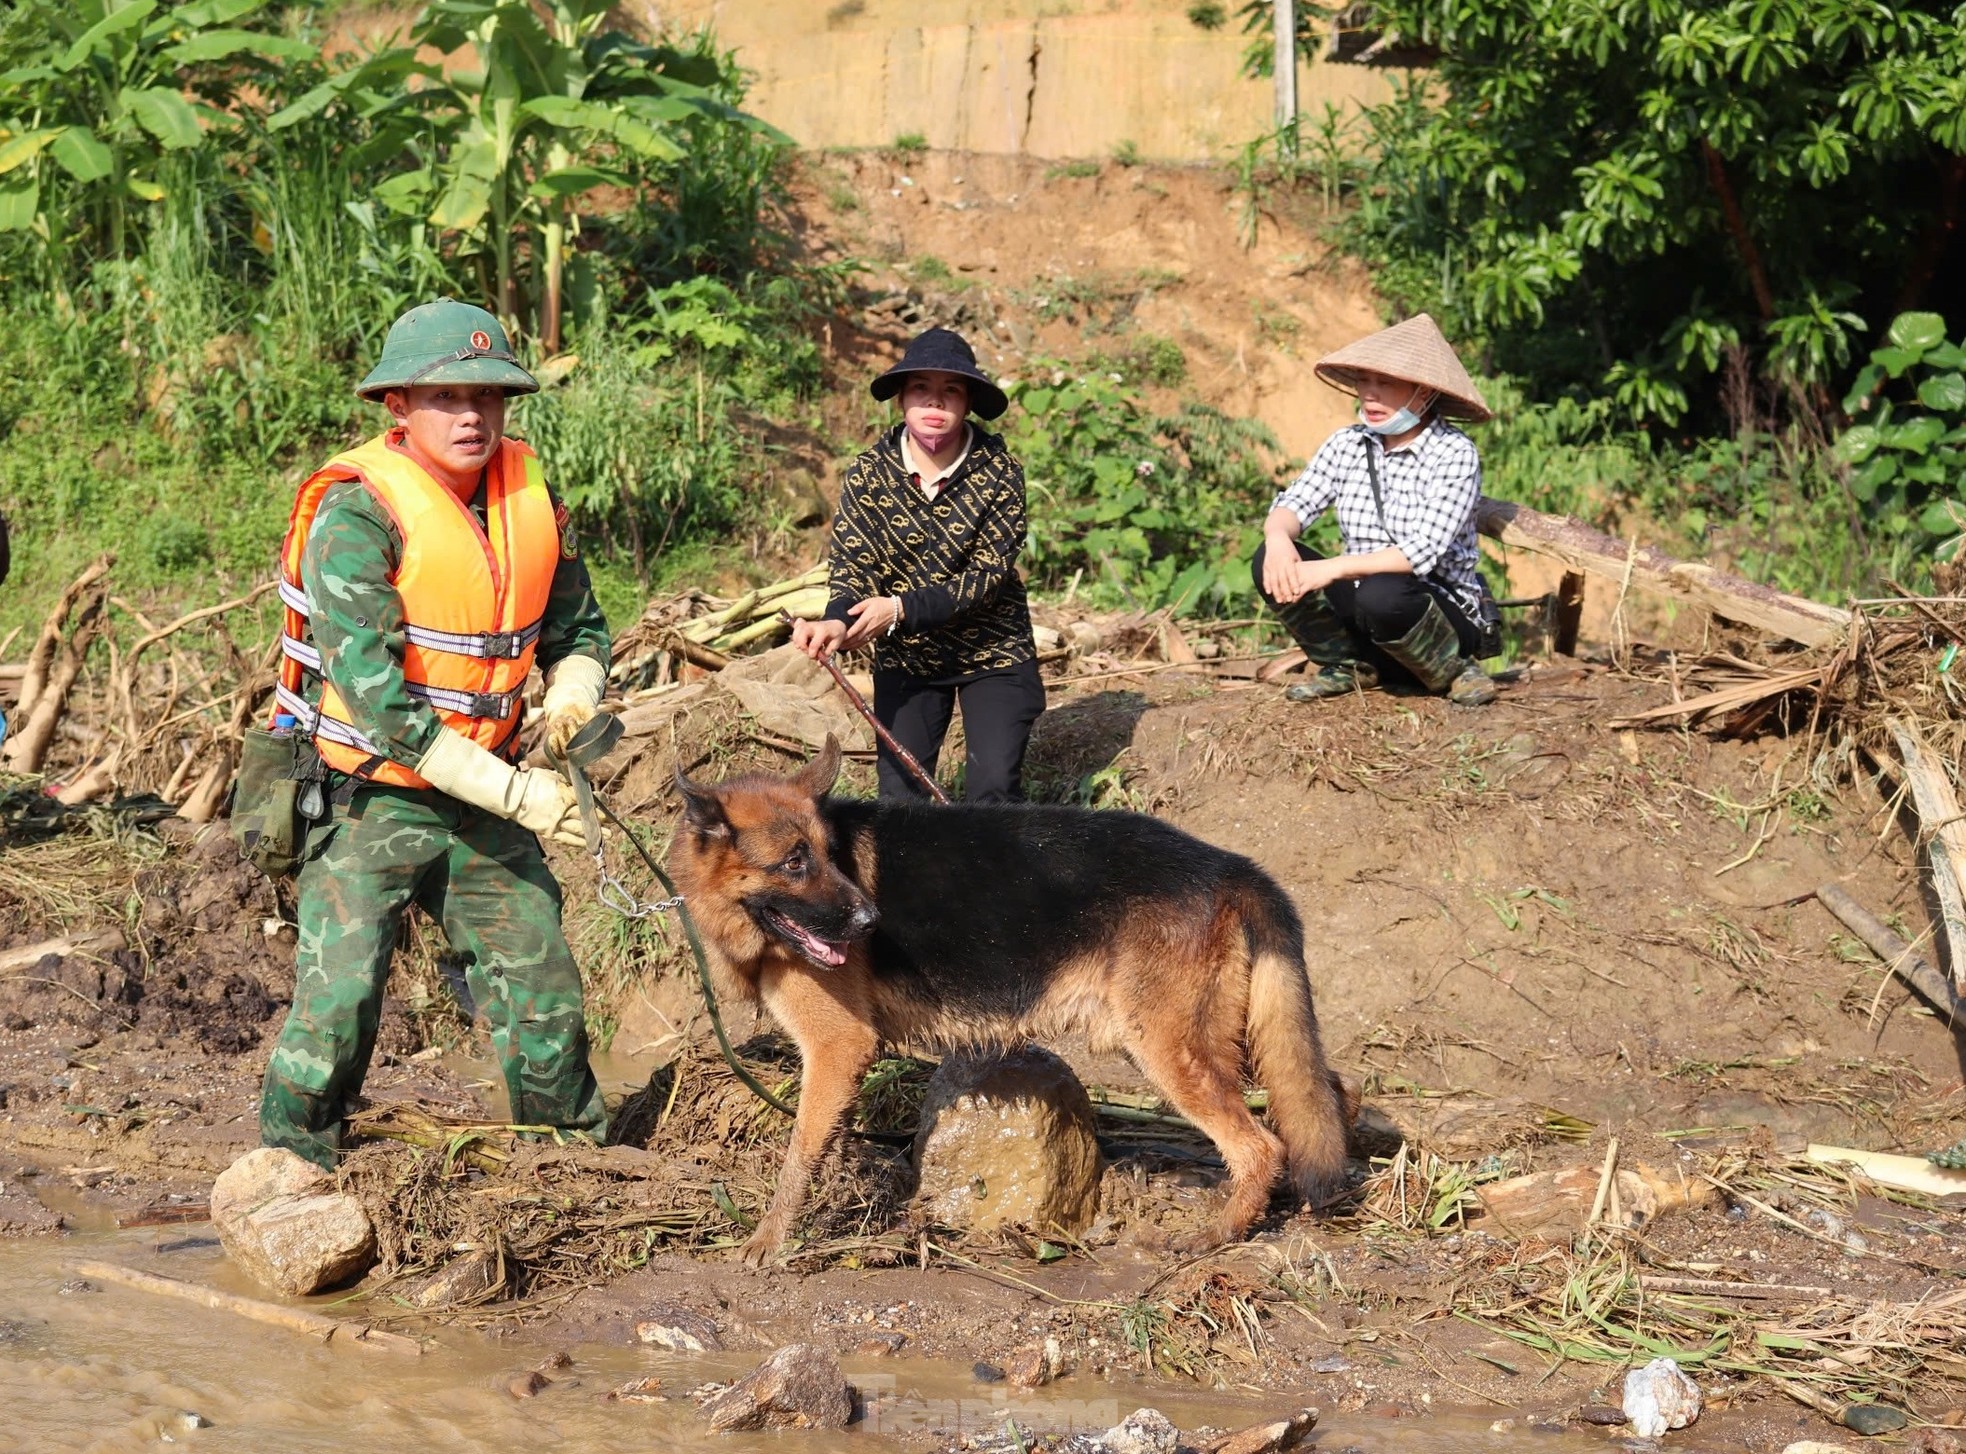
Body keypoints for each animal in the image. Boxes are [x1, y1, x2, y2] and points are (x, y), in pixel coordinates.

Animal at [672, 738, 1352, 1257]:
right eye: (794, 862)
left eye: (823, 856)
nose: (870, 921)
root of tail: (1227, 865)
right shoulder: (836, 1065)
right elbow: (822, 1143)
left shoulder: (838, 1047)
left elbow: (796, 1158)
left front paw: (769, 1240)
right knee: (1318, 1094)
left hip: (1169, 1052)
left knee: (1261, 1147)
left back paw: (1215, 1236)